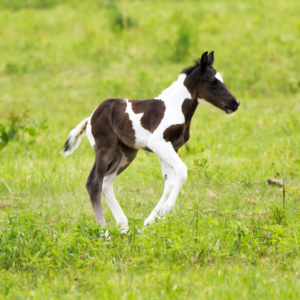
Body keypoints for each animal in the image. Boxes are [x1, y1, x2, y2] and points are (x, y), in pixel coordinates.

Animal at [62, 51, 240, 233]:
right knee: (94, 183)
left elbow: (170, 183)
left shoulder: (171, 148)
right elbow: (182, 172)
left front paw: (150, 221)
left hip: (126, 153)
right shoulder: (158, 143)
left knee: (107, 182)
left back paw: (124, 227)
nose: (235, 103)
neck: (176, 107)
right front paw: (166, 211)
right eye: (212, 82)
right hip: (104, 148)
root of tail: (90, 118)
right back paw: (105, 233)